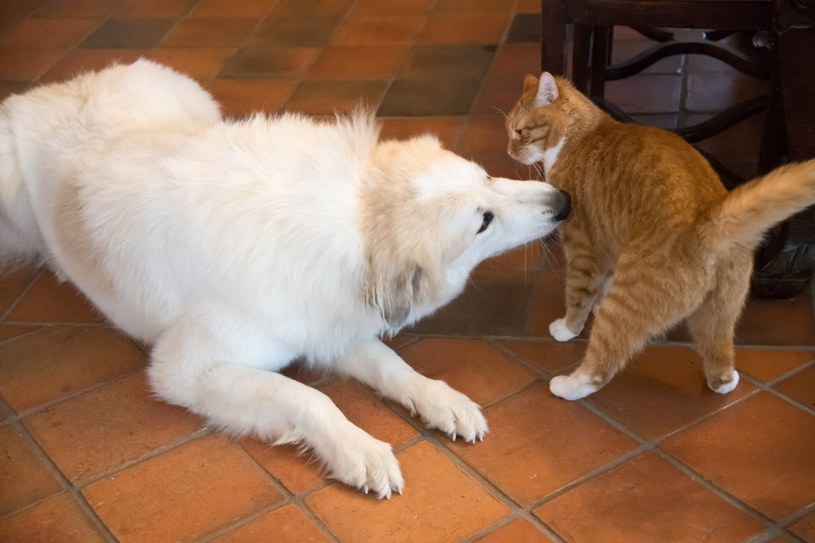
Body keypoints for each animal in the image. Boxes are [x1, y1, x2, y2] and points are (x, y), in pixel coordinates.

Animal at [0, 61, 572, 500]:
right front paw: (360, 449)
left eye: (487, 177)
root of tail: (61, 84)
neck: (351, 222)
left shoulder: (329, 323)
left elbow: (392, 365)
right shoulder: (185, 369)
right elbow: (307, 398)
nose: (563, 202)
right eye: (483, 221)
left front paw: (441, 399)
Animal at [506, 72, 812, 402]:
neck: (581, 137)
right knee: (720, 358)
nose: (509, 151)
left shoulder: (584, 251)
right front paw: (598, 301)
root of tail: (707, 224)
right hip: (720, 313)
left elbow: (578, 297)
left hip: (626, 306)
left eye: (519, 131)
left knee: (601, 367)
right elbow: (604, 282)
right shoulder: (611, 246)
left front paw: (568, 327)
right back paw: (725, 382)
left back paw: (568, 386)